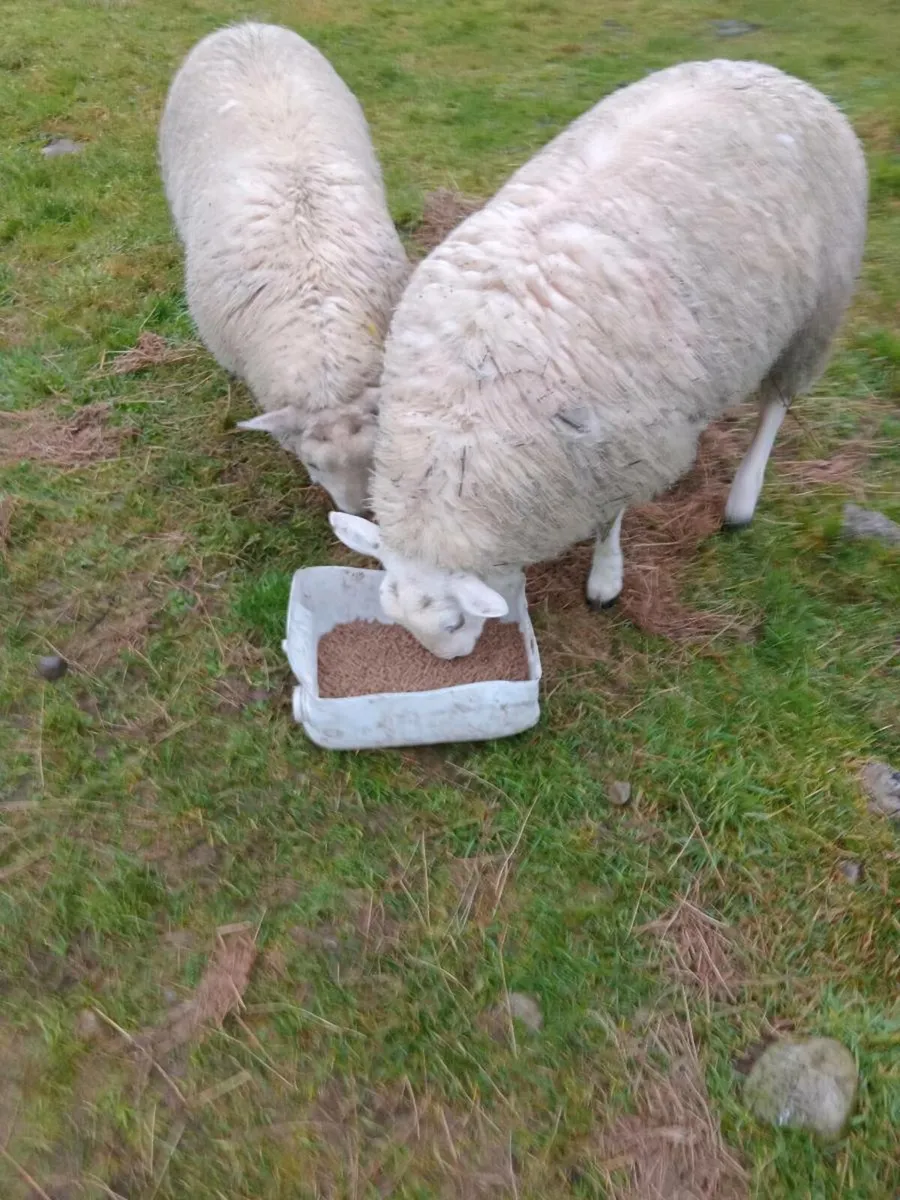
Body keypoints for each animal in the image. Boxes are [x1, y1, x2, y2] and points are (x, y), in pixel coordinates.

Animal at [330, 59, 867, 657]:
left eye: (451, 624)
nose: (456, 661)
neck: (463, 413)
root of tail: (773, 72)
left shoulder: (617, 448)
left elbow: (609, 521)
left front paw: (606, 580)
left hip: (818, 309)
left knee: (776, 404)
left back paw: (742, 501)